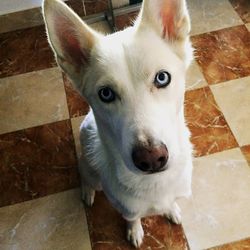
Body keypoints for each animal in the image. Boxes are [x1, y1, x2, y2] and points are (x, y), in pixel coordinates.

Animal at [43, 0, 193, 246]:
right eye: (106, 94)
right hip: (90, 168)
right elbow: (132, 217)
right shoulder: (126, 207)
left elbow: (170, 202)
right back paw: (87, 192)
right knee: (86, 176)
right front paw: (135, 230)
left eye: (162, 78)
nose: (151, 158)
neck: (156, 183)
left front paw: (171, 209)